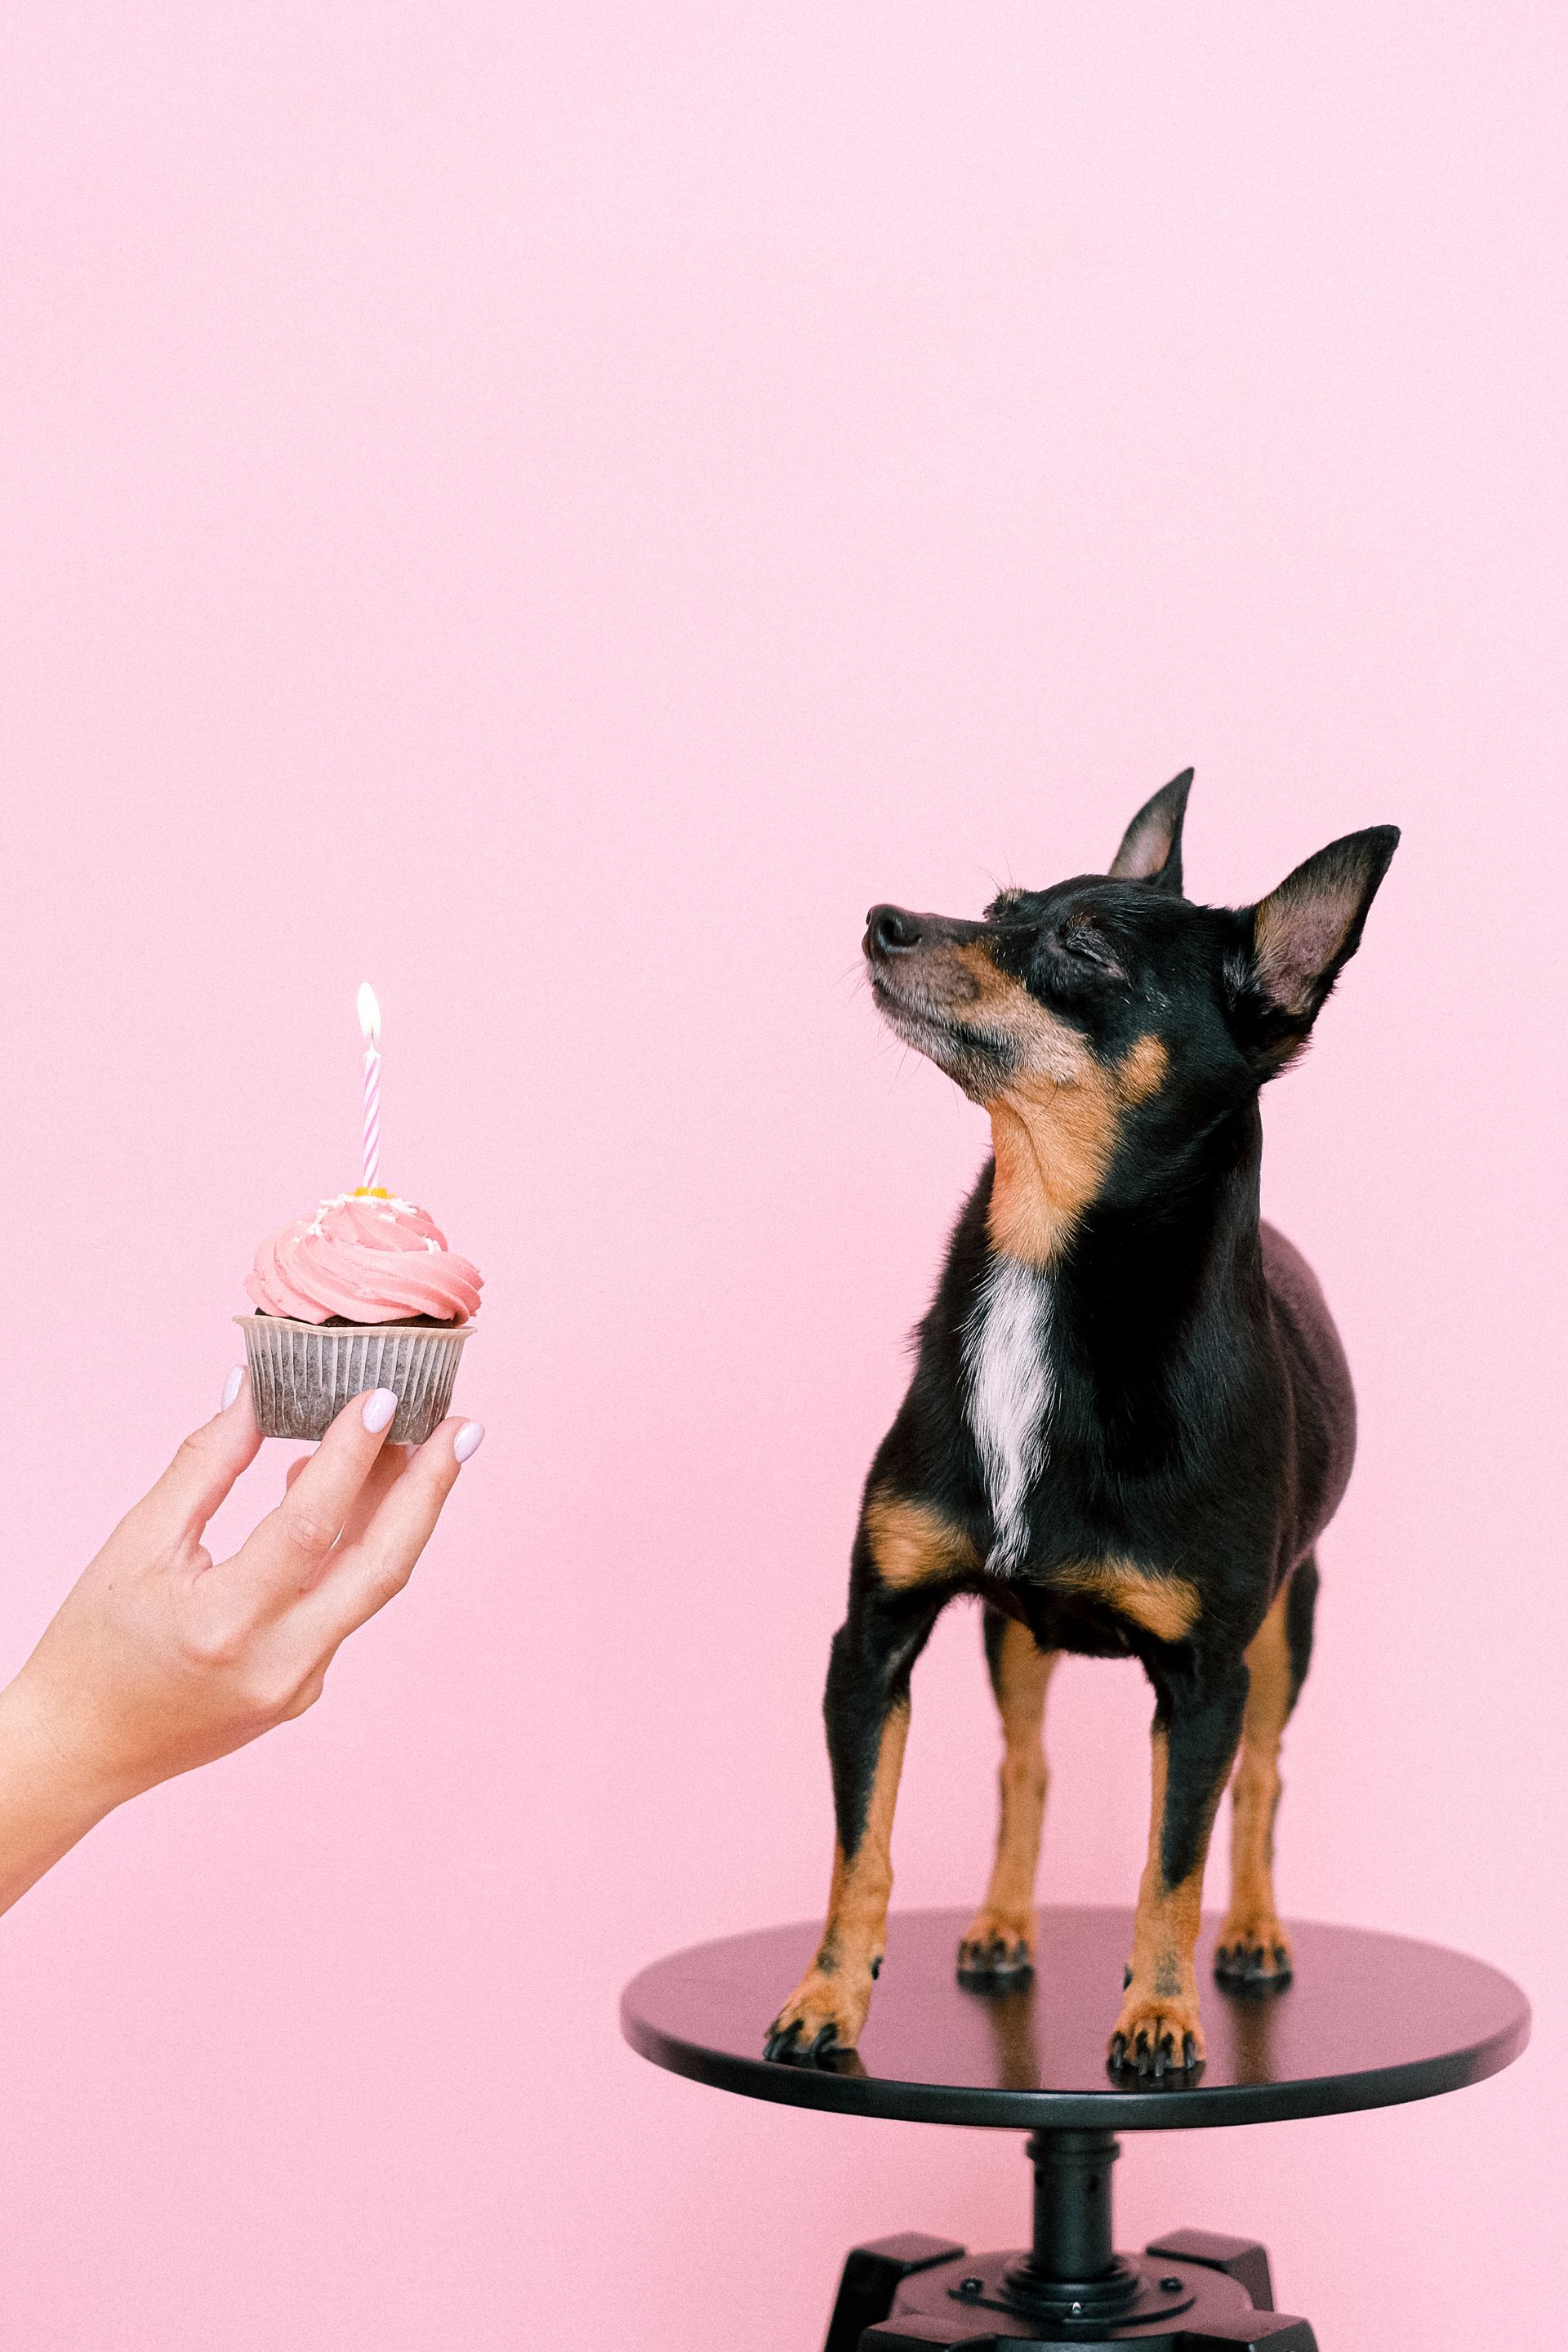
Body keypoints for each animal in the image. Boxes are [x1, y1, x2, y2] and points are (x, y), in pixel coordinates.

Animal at [761, 776, 1401, 2078]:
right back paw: (1007, 1921)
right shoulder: (875, 1640)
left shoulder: (1203, 1685)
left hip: (1284, 1632)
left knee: (1258, 1788)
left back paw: (1253, 1933)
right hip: (1016, 1642)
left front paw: (1157, 2016)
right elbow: (861, 1847)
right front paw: (829, 1998)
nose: (887, 920)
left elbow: (1172, 1863)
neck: (1043, 1263)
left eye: (1084, 950)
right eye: (1005, 906)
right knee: (1027, 1769)